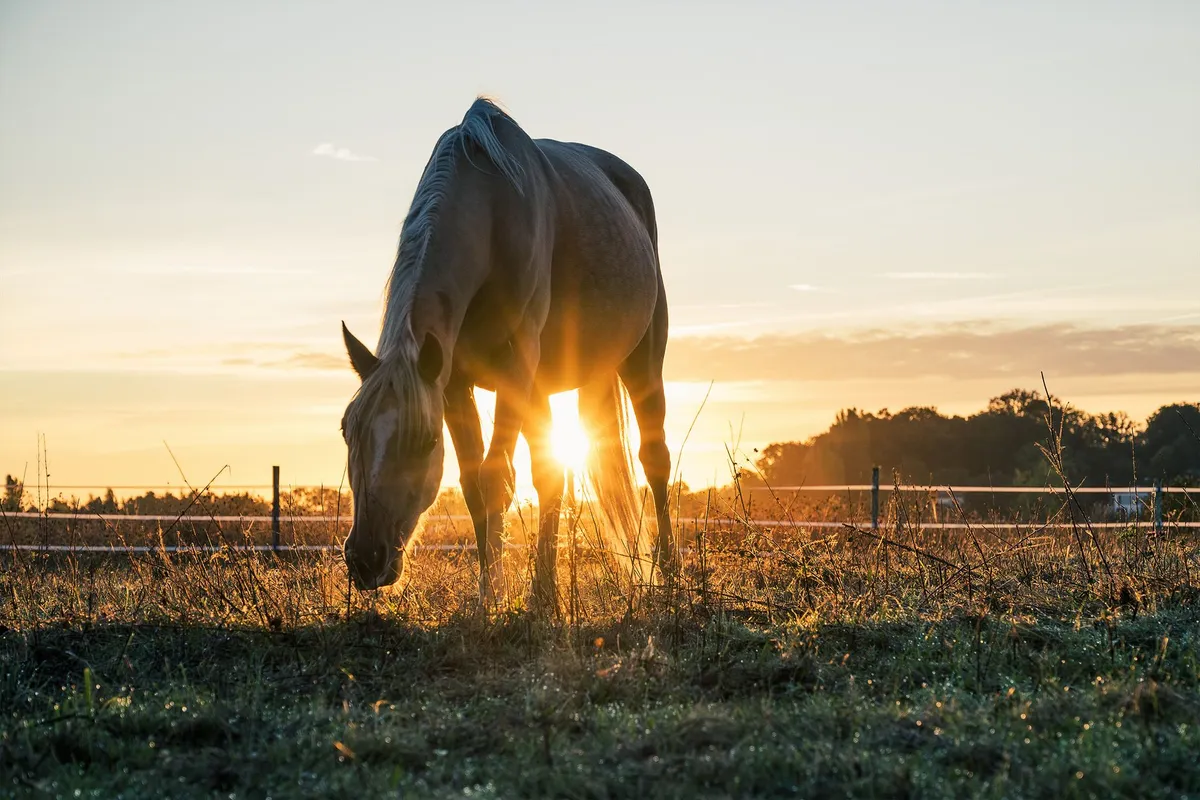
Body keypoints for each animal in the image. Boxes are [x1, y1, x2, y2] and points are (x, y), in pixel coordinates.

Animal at [338, 97, 674, 610]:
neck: (491, 215)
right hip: (548, 385)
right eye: (347, 431)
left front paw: (505, 595)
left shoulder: (514, 370)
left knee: (655, 460)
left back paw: (673, 577)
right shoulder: (454, 384)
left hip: (642, 362)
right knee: (553, 472)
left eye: (424, 441)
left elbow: (497, 477)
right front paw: (493, 592)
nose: (365, 558)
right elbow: (475, 484)